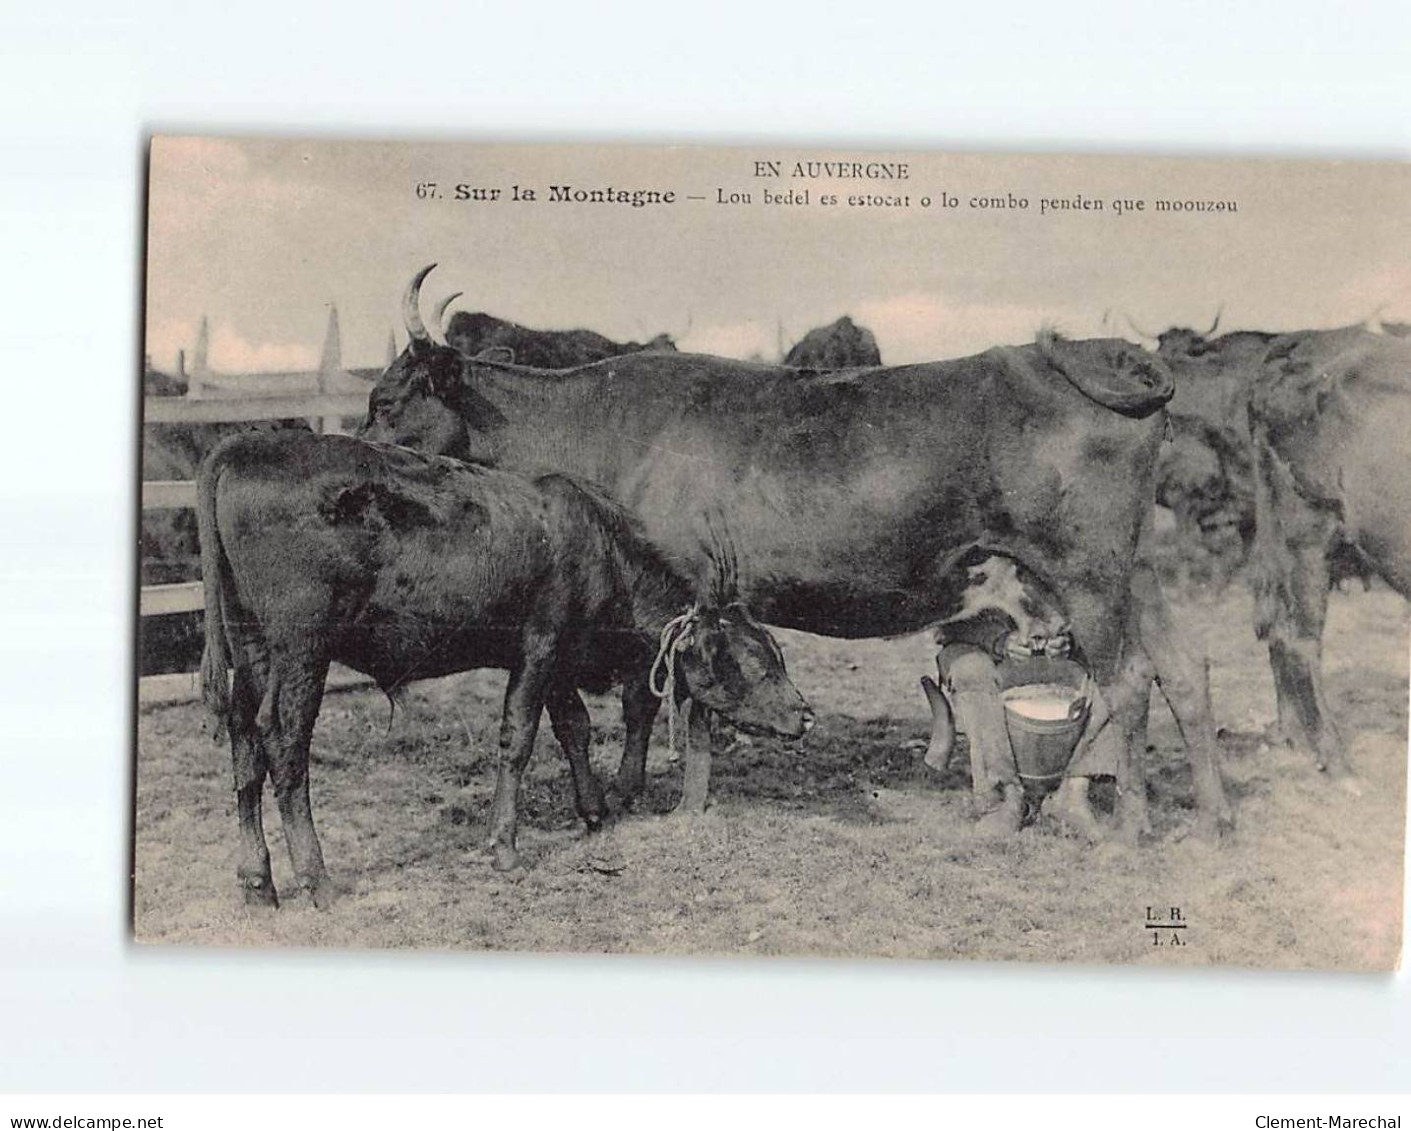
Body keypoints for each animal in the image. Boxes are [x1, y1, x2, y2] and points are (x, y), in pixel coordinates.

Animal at [200, 428, 818, 902]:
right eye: (756, 662)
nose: (806, 714)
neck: (597, 549)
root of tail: (244, 445)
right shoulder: (538, 645)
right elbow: (518, 737)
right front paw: (505, 847)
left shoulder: (559, 658)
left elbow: (574, 727)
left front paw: (594, 811)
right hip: (303, 648)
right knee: (283, 743)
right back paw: (316, 879)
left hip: (252, 649)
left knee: (243, 743)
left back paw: (258, 882)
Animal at [355, 265, 1236, 834]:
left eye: (387, 398)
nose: (353, 450)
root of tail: (1070, 352)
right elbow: (648, 697)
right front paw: (641, 790)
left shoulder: (687, 587)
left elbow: (669, 699)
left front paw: (673, 801)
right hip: (1129, 570)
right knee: (1182, 669)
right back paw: (1208, 815)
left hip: (1086, 571)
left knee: (1126, 679)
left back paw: (1121, 823)